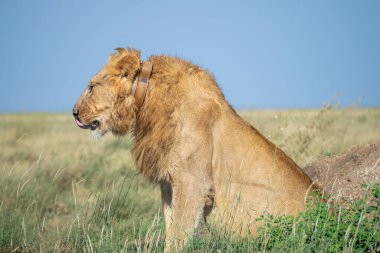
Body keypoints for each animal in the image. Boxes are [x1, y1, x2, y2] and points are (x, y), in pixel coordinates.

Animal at [72, 48, 318, 251]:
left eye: (91, 87)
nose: (74, 112)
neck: (147, 104)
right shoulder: (169, 184)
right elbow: (170, 226)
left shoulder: (192, 184)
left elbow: (178, 234)